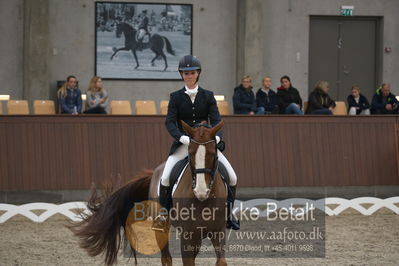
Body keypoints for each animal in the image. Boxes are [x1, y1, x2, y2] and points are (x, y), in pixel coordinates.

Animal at [70, 121, 230, 266]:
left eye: (213, 153)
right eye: (190, 153)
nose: (201, 191)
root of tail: (155, 172)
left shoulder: (218, 232)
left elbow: (221, 261)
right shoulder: (187, 235)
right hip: (162, 229)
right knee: (166, 258)